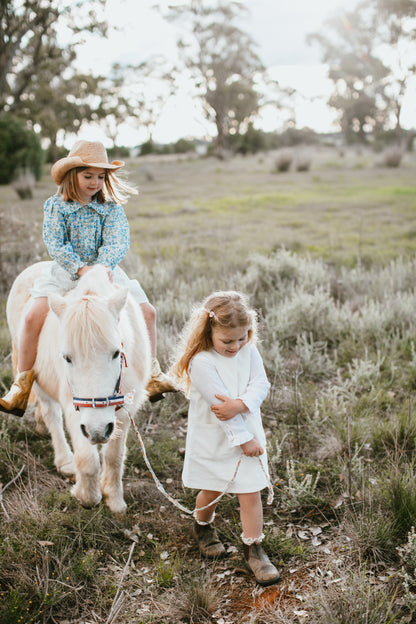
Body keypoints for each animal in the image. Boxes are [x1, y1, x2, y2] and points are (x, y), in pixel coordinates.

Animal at [6, 262, 151, 512]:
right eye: (67, 357)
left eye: (117, 353)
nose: (97, 431)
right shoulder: (75, 409)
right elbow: (87, 460)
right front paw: (84, 495)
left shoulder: (124, 411)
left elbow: (114, 455)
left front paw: (114, 500)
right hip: (39, 381)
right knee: (52, 415)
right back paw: (65, 462)